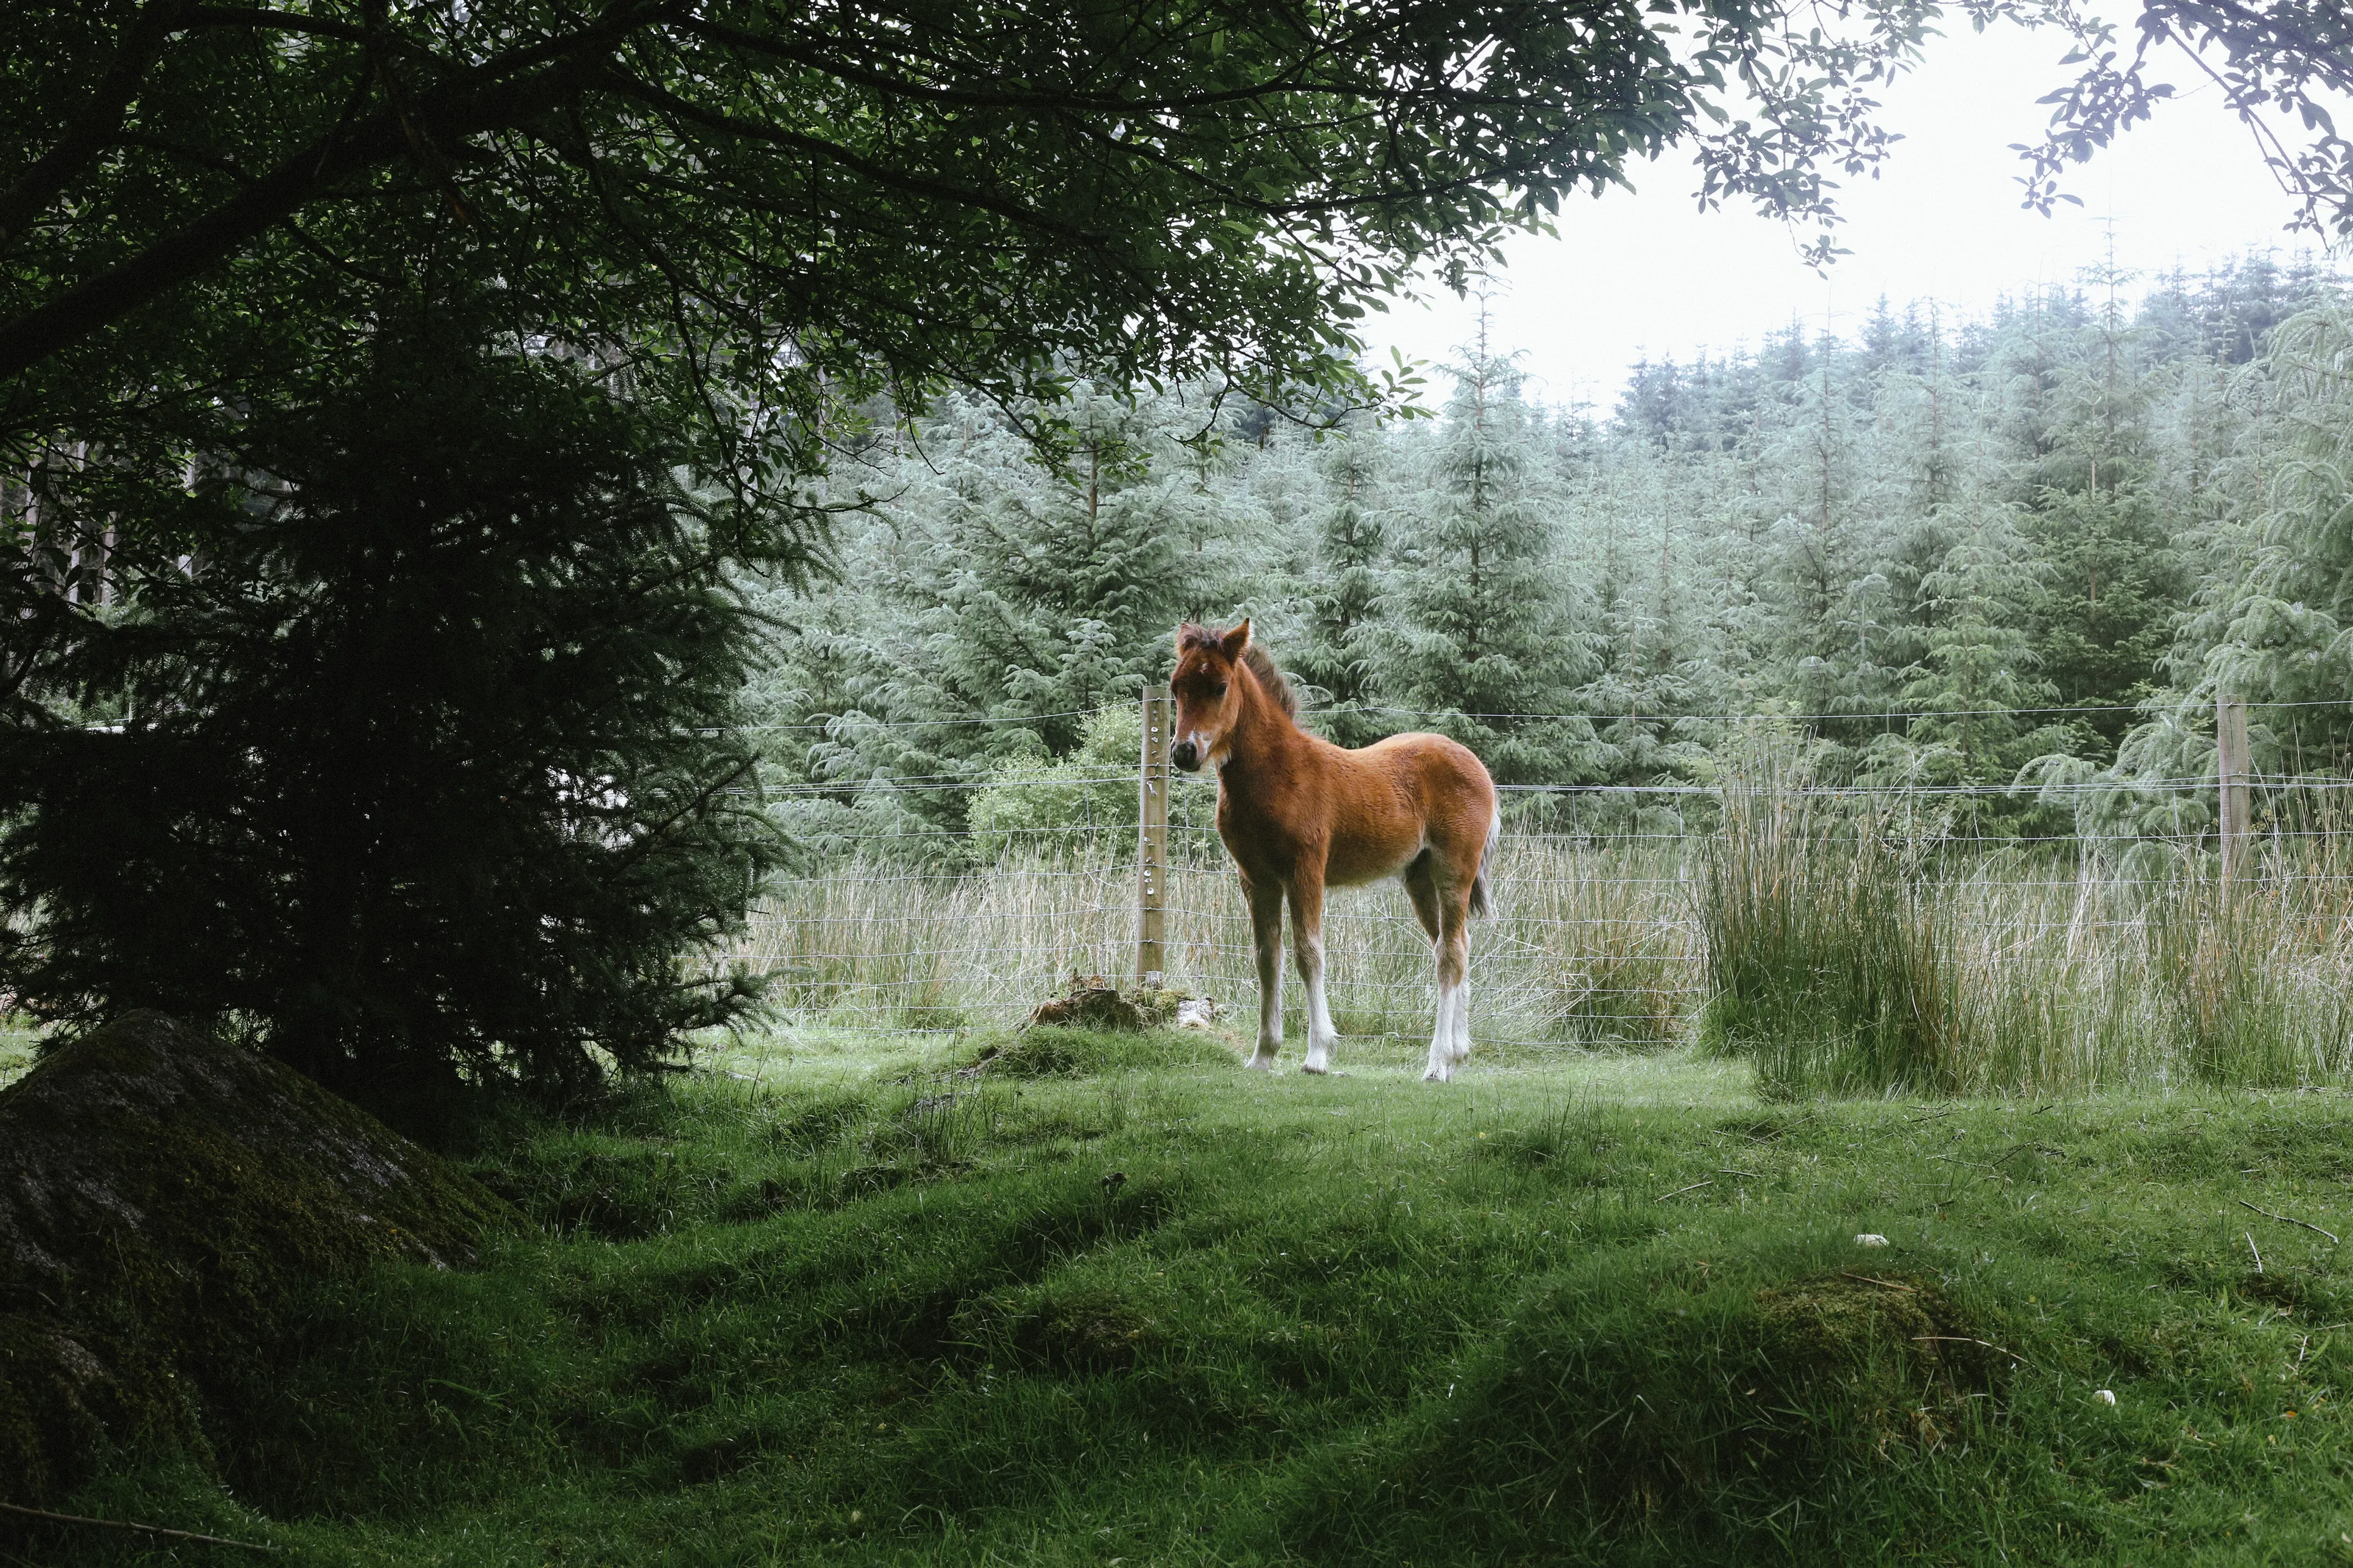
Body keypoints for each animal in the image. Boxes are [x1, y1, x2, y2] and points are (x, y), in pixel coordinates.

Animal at [1167, 620, 1500, 1082]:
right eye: (1176, 687)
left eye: (1219, 686)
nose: (1184, 752)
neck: (1277, 774)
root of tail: (1478, 767)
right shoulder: (1255, 879)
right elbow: (1267, 958)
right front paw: (1263, 1055)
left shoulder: (1305, 870)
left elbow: (1309, 953)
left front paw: (1317, 1054)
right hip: (1420, 879)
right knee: (1458, 948)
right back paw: (1459, 1053)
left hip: (1455, 871)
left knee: (1449, 956)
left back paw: (1438, 1063)